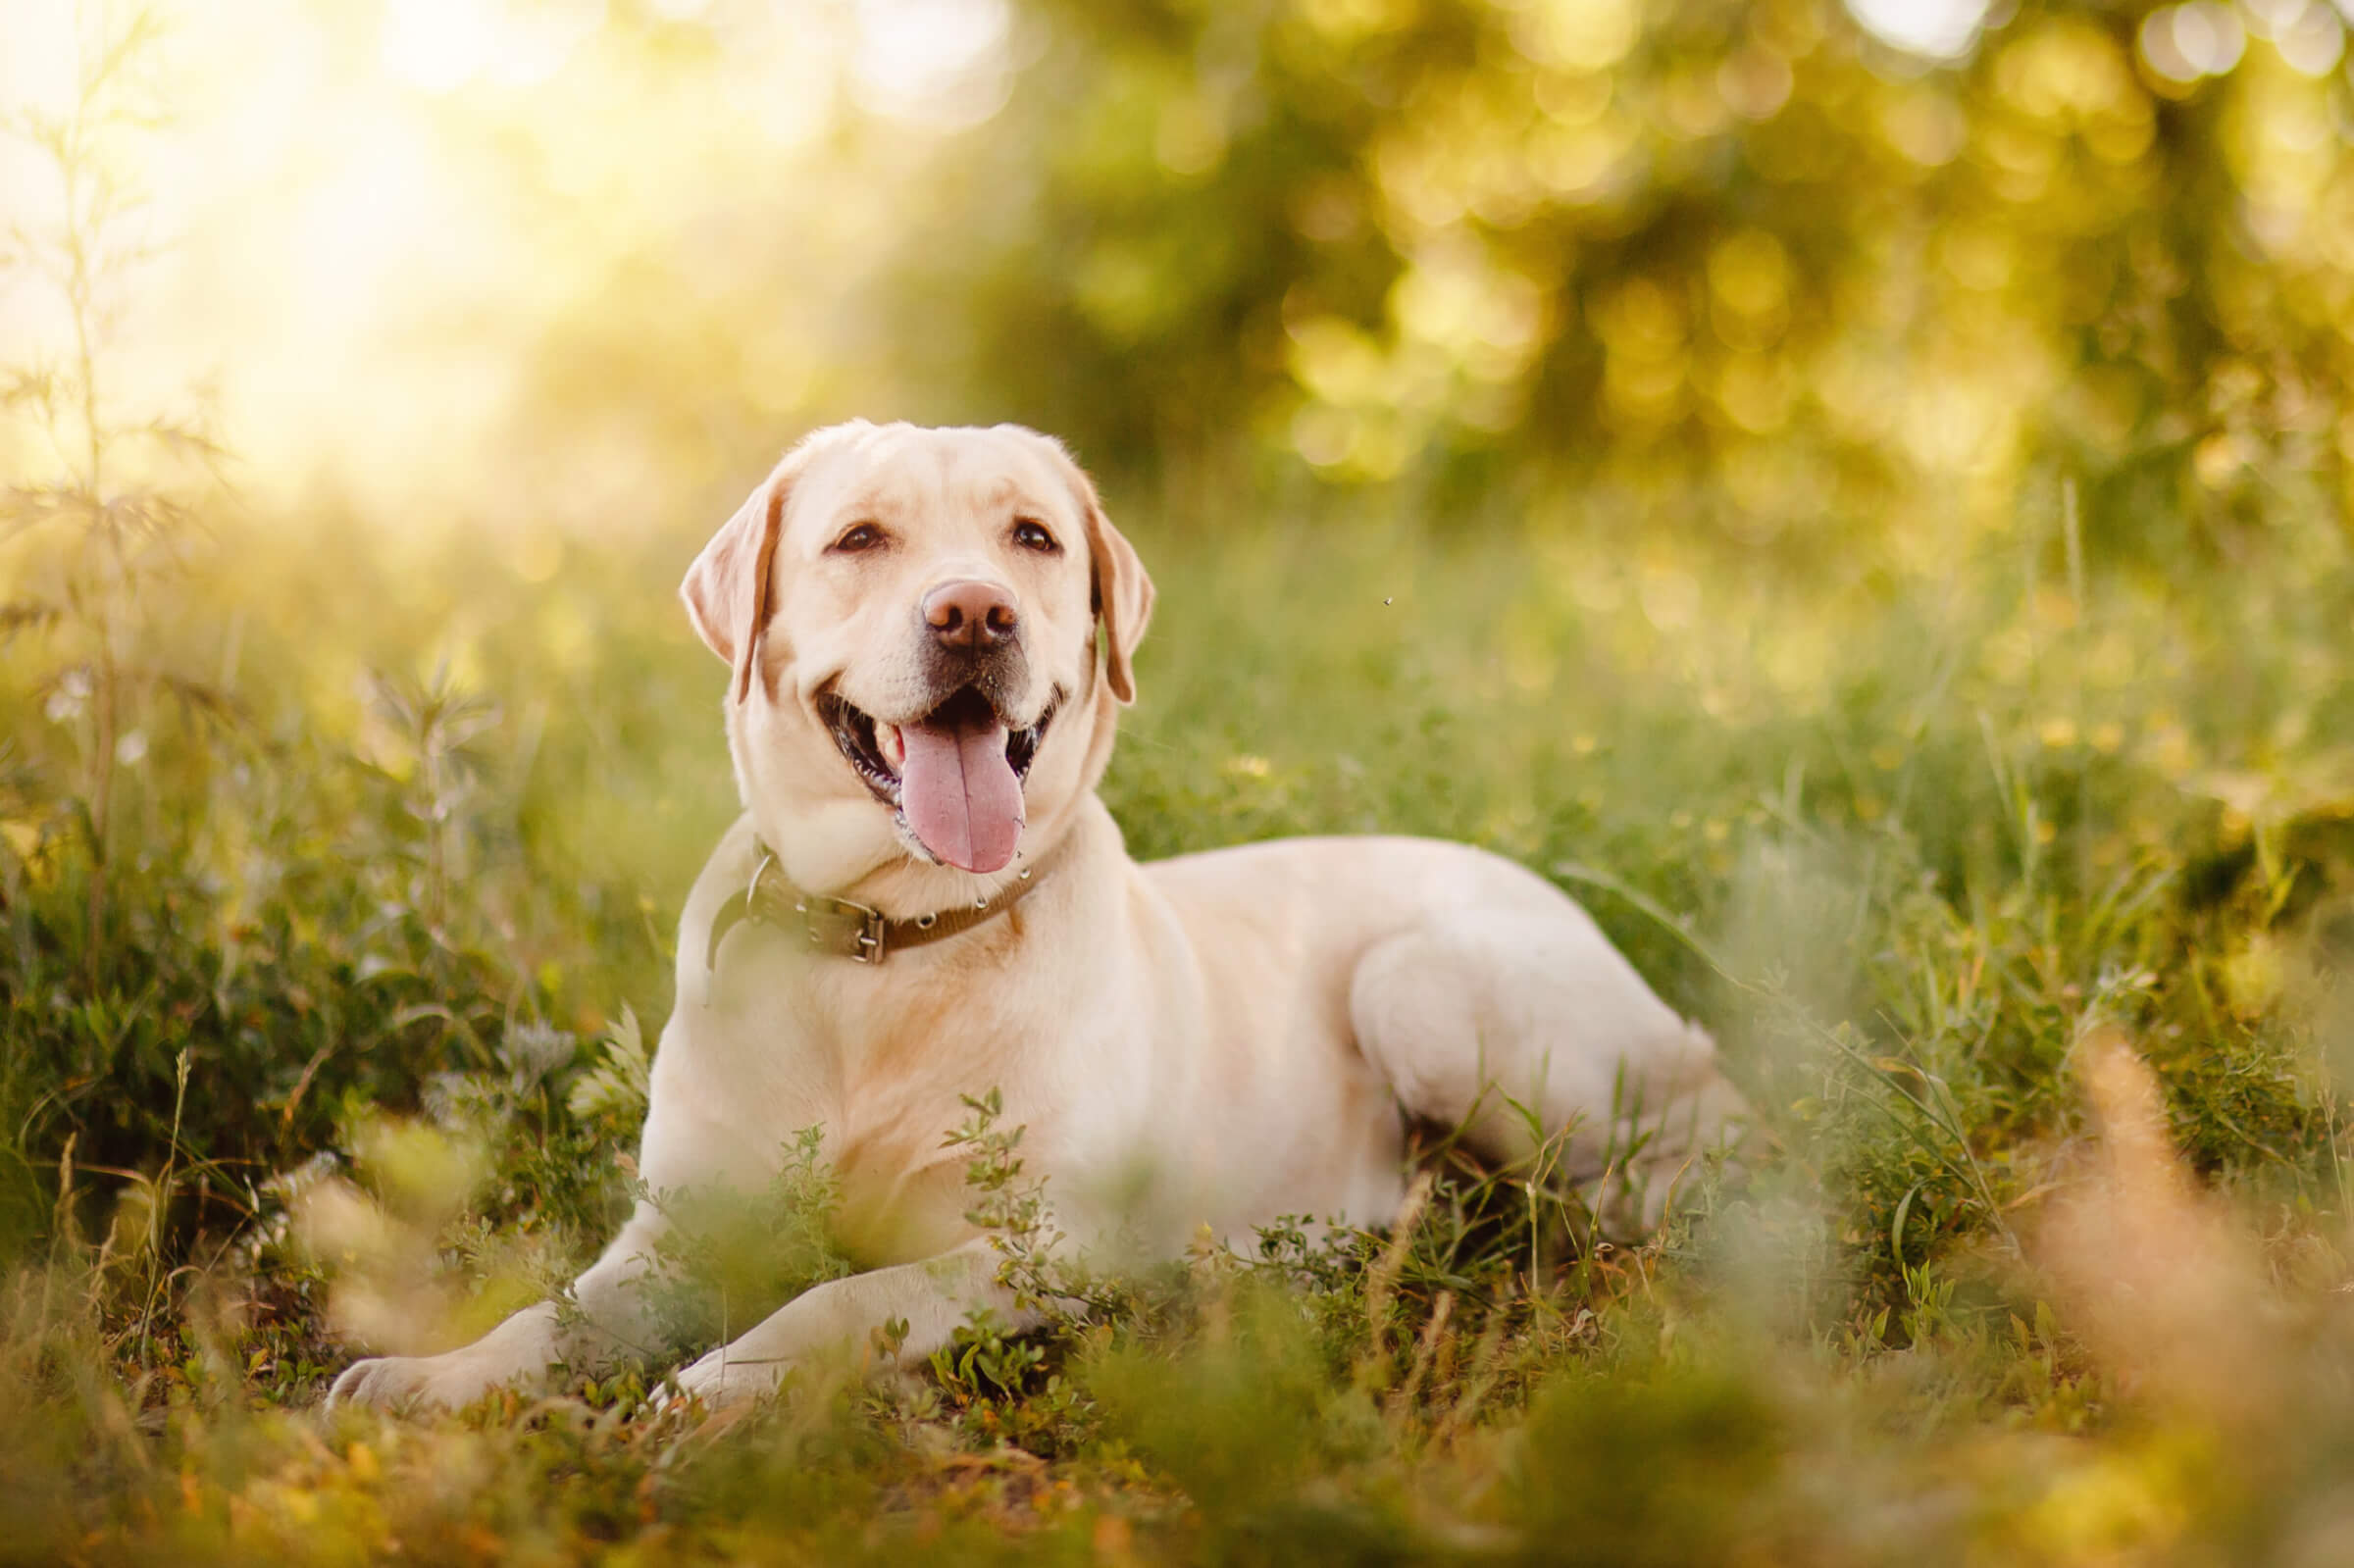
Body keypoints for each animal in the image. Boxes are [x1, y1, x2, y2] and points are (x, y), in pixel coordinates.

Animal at [322, 421, 1742, 1412]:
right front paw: (432, 1378)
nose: (973, 613)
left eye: (1035, 539)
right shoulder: (676, 1232)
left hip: (1427, 986)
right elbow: (555, 1311)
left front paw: (719, 1383)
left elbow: (841, 1298)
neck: (885, 944)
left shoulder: (1030, 1244)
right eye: (860, 539)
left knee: (1678, 1160)